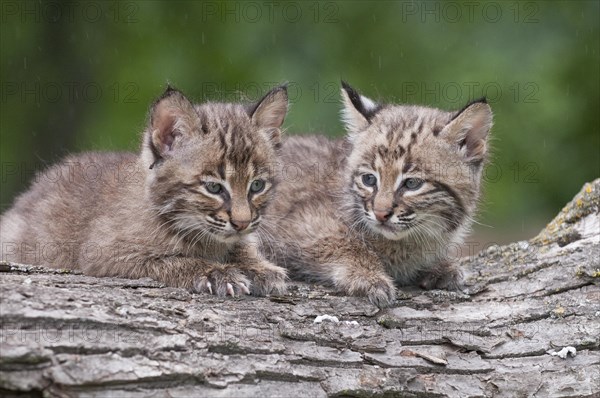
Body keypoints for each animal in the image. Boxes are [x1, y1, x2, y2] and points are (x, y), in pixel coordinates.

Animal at [0, 84, 290, 296]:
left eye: (257, 185)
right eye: (213, 187)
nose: (242, 223)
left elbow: (243, 245)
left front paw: (258, 267)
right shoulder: (103, 253)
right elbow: (168, 259)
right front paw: (215, 272)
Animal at [264, 82, 494, 308]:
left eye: (412, 183)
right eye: (369, 180)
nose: (381, 214)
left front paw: (441, 266)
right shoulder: (298, 225)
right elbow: (343, 244)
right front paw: (369, 277)